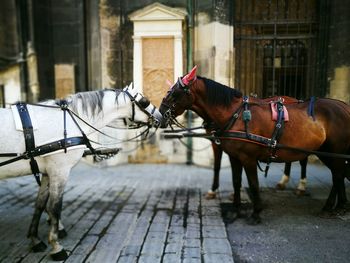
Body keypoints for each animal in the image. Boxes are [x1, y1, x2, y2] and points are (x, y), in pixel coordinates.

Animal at [0, 84, 161, 260]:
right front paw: (56, 246)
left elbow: (40, 204)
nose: (160, 116)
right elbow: (54, 208)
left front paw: (35, 240)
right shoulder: (60, 170)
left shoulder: (47, 172)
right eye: (144, 101)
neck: (71, 120)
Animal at [161, 66, 350, 225]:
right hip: (324, 152)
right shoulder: (234, 156)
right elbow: (236, 181)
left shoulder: (248, 158)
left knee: (337, 175)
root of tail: (344, 106)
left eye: (175, 92)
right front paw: (236, 209)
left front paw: (256, 212)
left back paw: (326, 203)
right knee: (339, 175)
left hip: (332, 151)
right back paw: (339, 205)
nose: (160, 113)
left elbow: (253, 183)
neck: (234, 114)